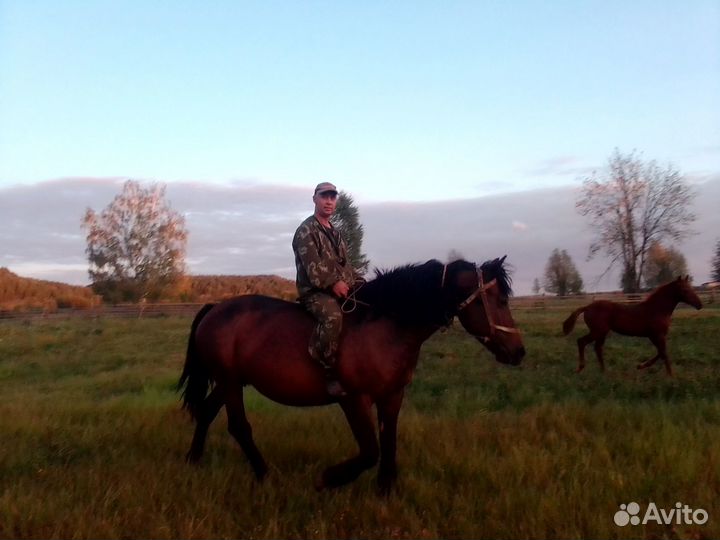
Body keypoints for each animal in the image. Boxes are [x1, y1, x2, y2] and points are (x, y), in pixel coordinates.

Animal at [177, 256, 525, 493]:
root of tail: (215, 309)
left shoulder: (392, 397)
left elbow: (388, 442)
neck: (385, 326)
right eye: (498, 300)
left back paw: (193, 460)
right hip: (231, 383)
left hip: (230, 383)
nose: (519, 352)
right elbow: (370, 451)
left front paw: (386, 490)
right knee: (239, 427)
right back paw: (265, 475)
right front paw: (328, 479)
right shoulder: (354, 400)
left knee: (206, 412)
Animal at [562, 276, 702, 375]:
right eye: (685, 290)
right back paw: (581, 368)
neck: (657, 309)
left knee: (597, 348)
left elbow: (661, 352)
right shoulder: (657, 335)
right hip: (598, 331)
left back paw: (604, 372)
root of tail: (587, 307)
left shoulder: (654, 336)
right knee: (582, 342)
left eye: (691, 288)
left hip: (602, 333)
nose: (699, 305)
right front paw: (670, 375)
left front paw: (641, 366)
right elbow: (663, 353)